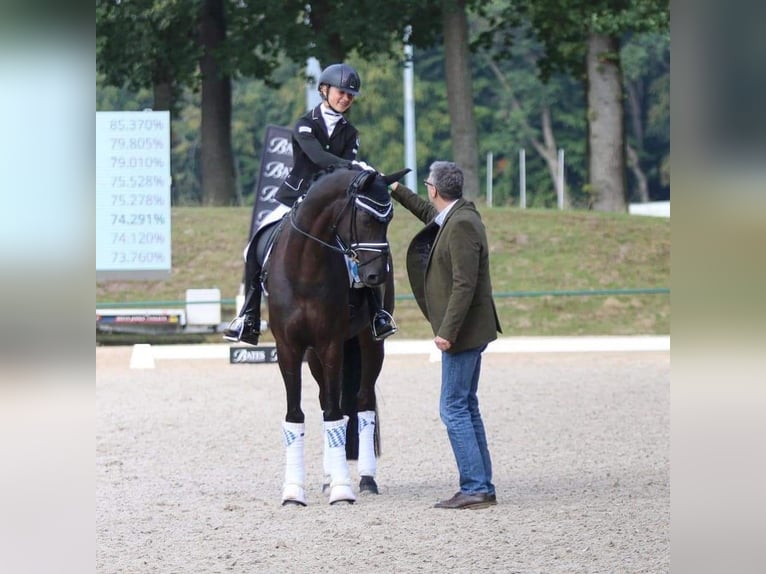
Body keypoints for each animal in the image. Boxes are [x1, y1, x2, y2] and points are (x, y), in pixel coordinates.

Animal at [262, 164, 412, 506]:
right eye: (366, 218)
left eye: (389, 219)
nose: (375, 276)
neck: (304, 267)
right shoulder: (289, 348)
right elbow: (295, 415)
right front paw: (294, 491)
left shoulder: (331, 344)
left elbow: (335, 413)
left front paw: (344, 490)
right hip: (315, 357)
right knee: (327, 400)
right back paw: (329, 478)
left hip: (369, 344)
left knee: (362, 402)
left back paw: (366, 479)